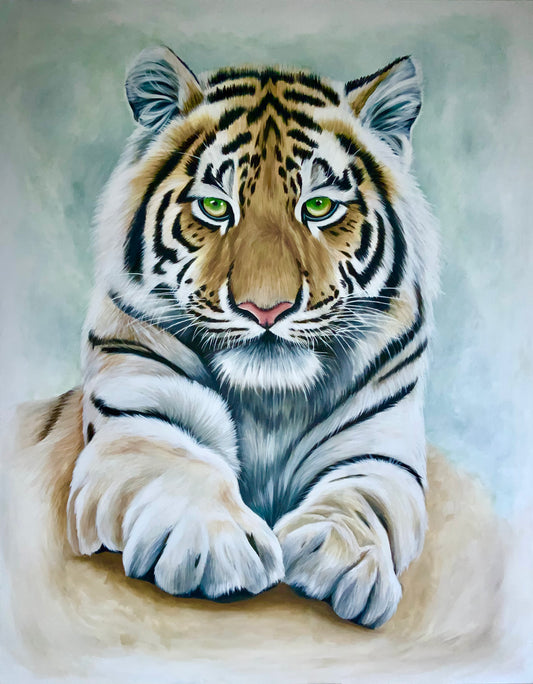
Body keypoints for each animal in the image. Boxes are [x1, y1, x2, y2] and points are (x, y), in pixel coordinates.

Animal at [66, 46, 439, 629]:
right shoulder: (137, 418)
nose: (267, 309)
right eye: (216, 207)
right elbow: (180, 461)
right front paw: (218, 547)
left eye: (319, 207)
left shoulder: (379, 452)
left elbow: (362, 500)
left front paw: (339, 555)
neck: (269, 402)